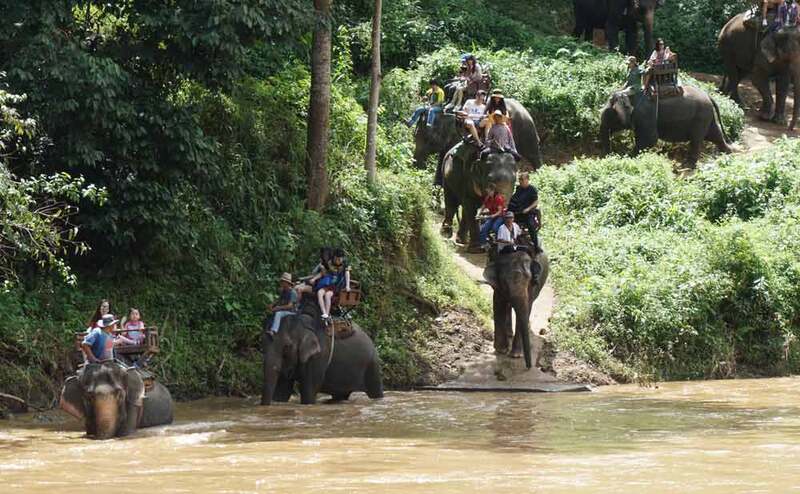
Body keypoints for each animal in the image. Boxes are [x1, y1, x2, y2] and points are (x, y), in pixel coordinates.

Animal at [412, 97, 544, 174]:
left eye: (429, 140)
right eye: (414, 136)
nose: (417, 168)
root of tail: (527, 111)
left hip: (526, 132)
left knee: (534, 156)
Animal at [600, 86, 732, 167]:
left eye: (608, 113)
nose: (609, 155)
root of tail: (709, 96)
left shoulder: (645, 115)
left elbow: (650, 139)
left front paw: (629, 158)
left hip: (700, 117)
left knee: (696, 139)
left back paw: (688, 165)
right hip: (707, 116)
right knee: (715, 134)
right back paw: (727, 153)